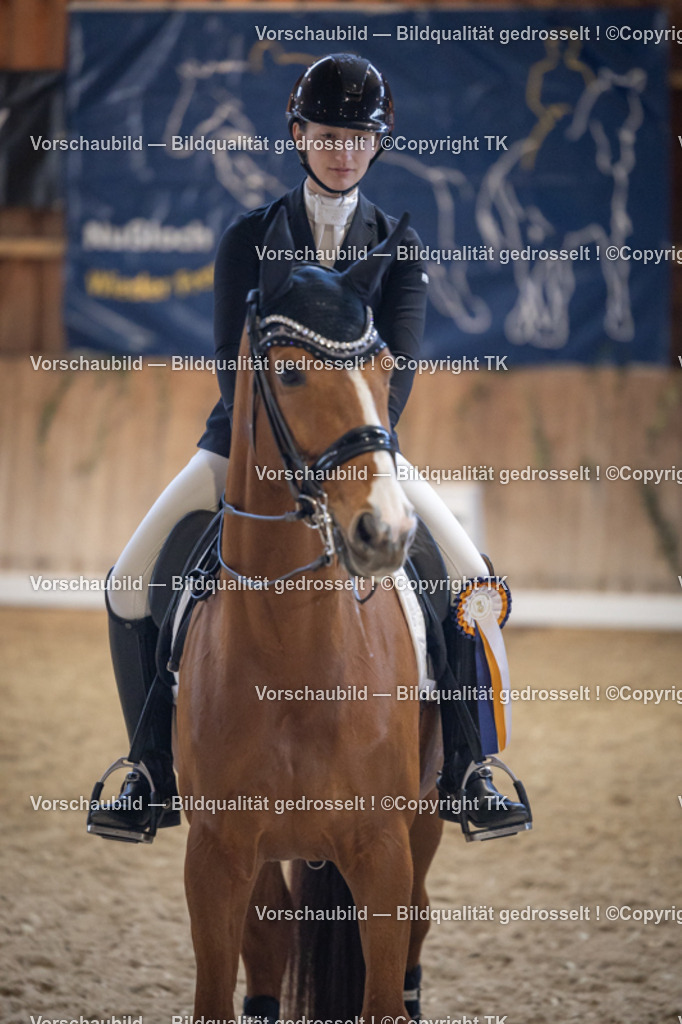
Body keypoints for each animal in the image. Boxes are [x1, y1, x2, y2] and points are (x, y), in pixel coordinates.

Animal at [175, 208, 444, 1017]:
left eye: (385, 369)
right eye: (291, 371)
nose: (384, 532)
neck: (291, 648)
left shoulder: (383, 851)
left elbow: (384, 992)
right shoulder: (216, 855)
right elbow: (218, 988)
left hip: (424, 825)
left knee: (420, 926)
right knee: (270, 946)